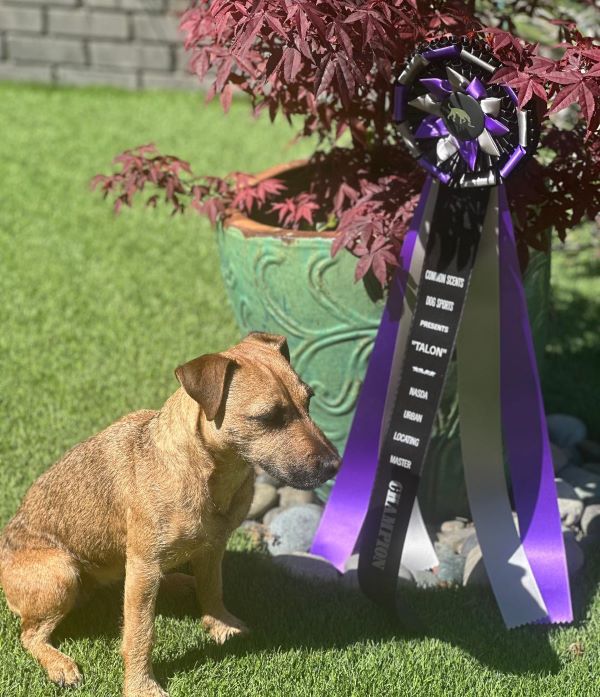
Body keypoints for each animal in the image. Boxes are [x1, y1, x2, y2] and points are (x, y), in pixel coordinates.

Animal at [0, 332, 340, 697]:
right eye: (267, 417)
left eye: (310, 401)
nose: (335, 465)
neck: (208, 475)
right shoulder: (144, 565)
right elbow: (140, 633)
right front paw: (141, 686)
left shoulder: (212, 548)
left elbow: (213, 588)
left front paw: (221, 624)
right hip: (62, 573)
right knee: (30, 635)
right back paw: (59, 664)